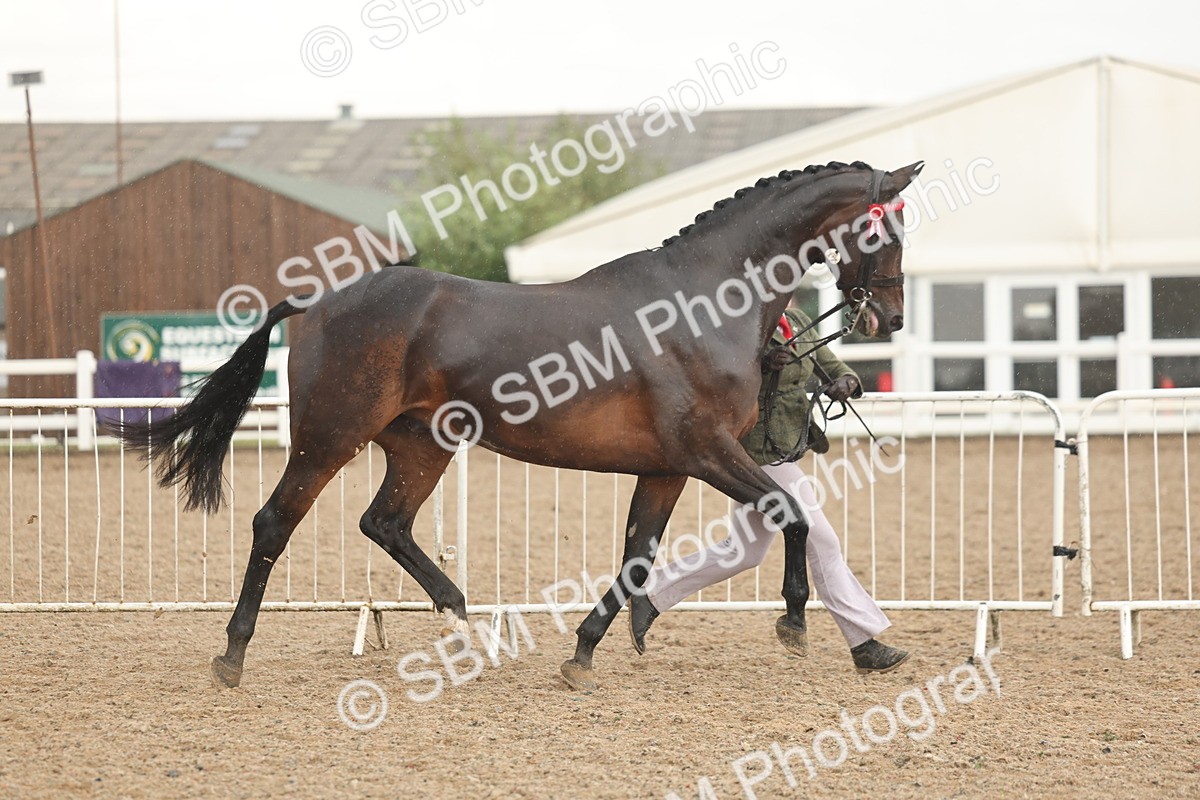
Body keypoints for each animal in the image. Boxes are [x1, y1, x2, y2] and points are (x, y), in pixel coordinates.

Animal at [118, 159, 921, 690]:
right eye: (885, 232)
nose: (890, 318)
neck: (701, 302)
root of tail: (317, 302)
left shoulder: (667, 466)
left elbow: (638, 556)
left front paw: (589, 648)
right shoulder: (706, 450)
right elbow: (793, 515)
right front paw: (792, 622)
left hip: (422, 445)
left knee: (386, 523)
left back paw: (463, 622)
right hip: (328, 439)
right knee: (274, 524)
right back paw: (232, 655)